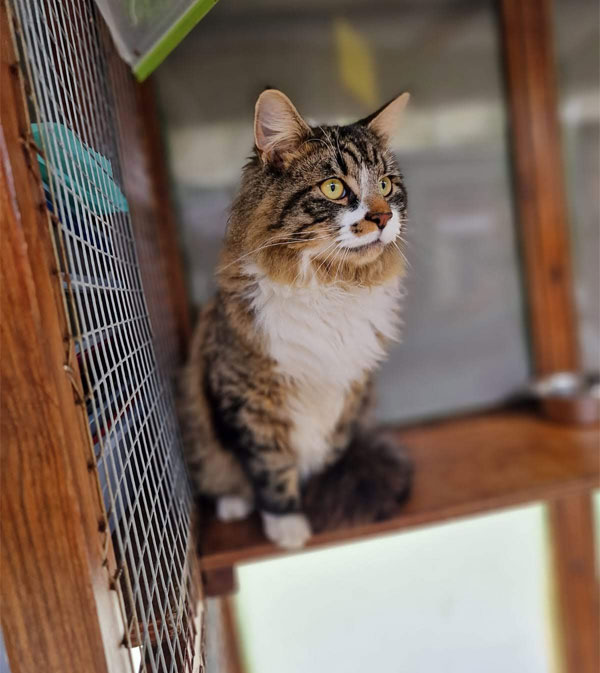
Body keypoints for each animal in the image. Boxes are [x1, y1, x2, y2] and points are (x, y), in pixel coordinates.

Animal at [179, 89, 412, 548]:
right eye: (334, 188)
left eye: (385, 185)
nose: (382, 217)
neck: (330, 286)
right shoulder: (249, 396)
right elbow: (269, 466)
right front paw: (287, 525)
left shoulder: (348, 394)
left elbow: (328, 453)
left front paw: (322, 493)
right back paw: (234, 503)